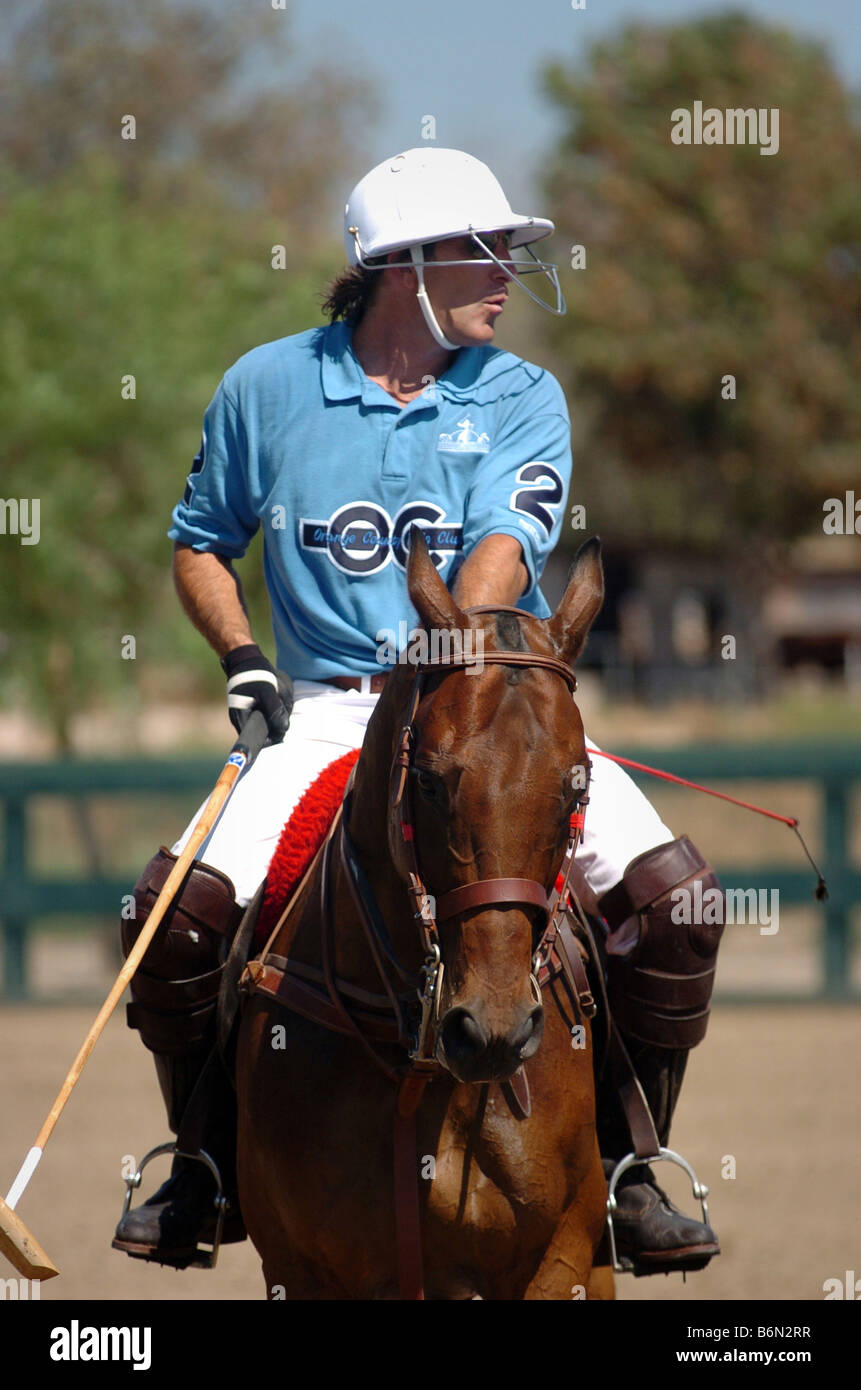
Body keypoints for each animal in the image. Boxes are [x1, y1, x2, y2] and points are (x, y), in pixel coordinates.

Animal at [236, 533, 612, 1301]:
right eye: (432, 782)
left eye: (576, 787)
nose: (493, 1032)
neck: (419, 1067)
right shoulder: (295, 1267)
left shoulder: (562, 1254)